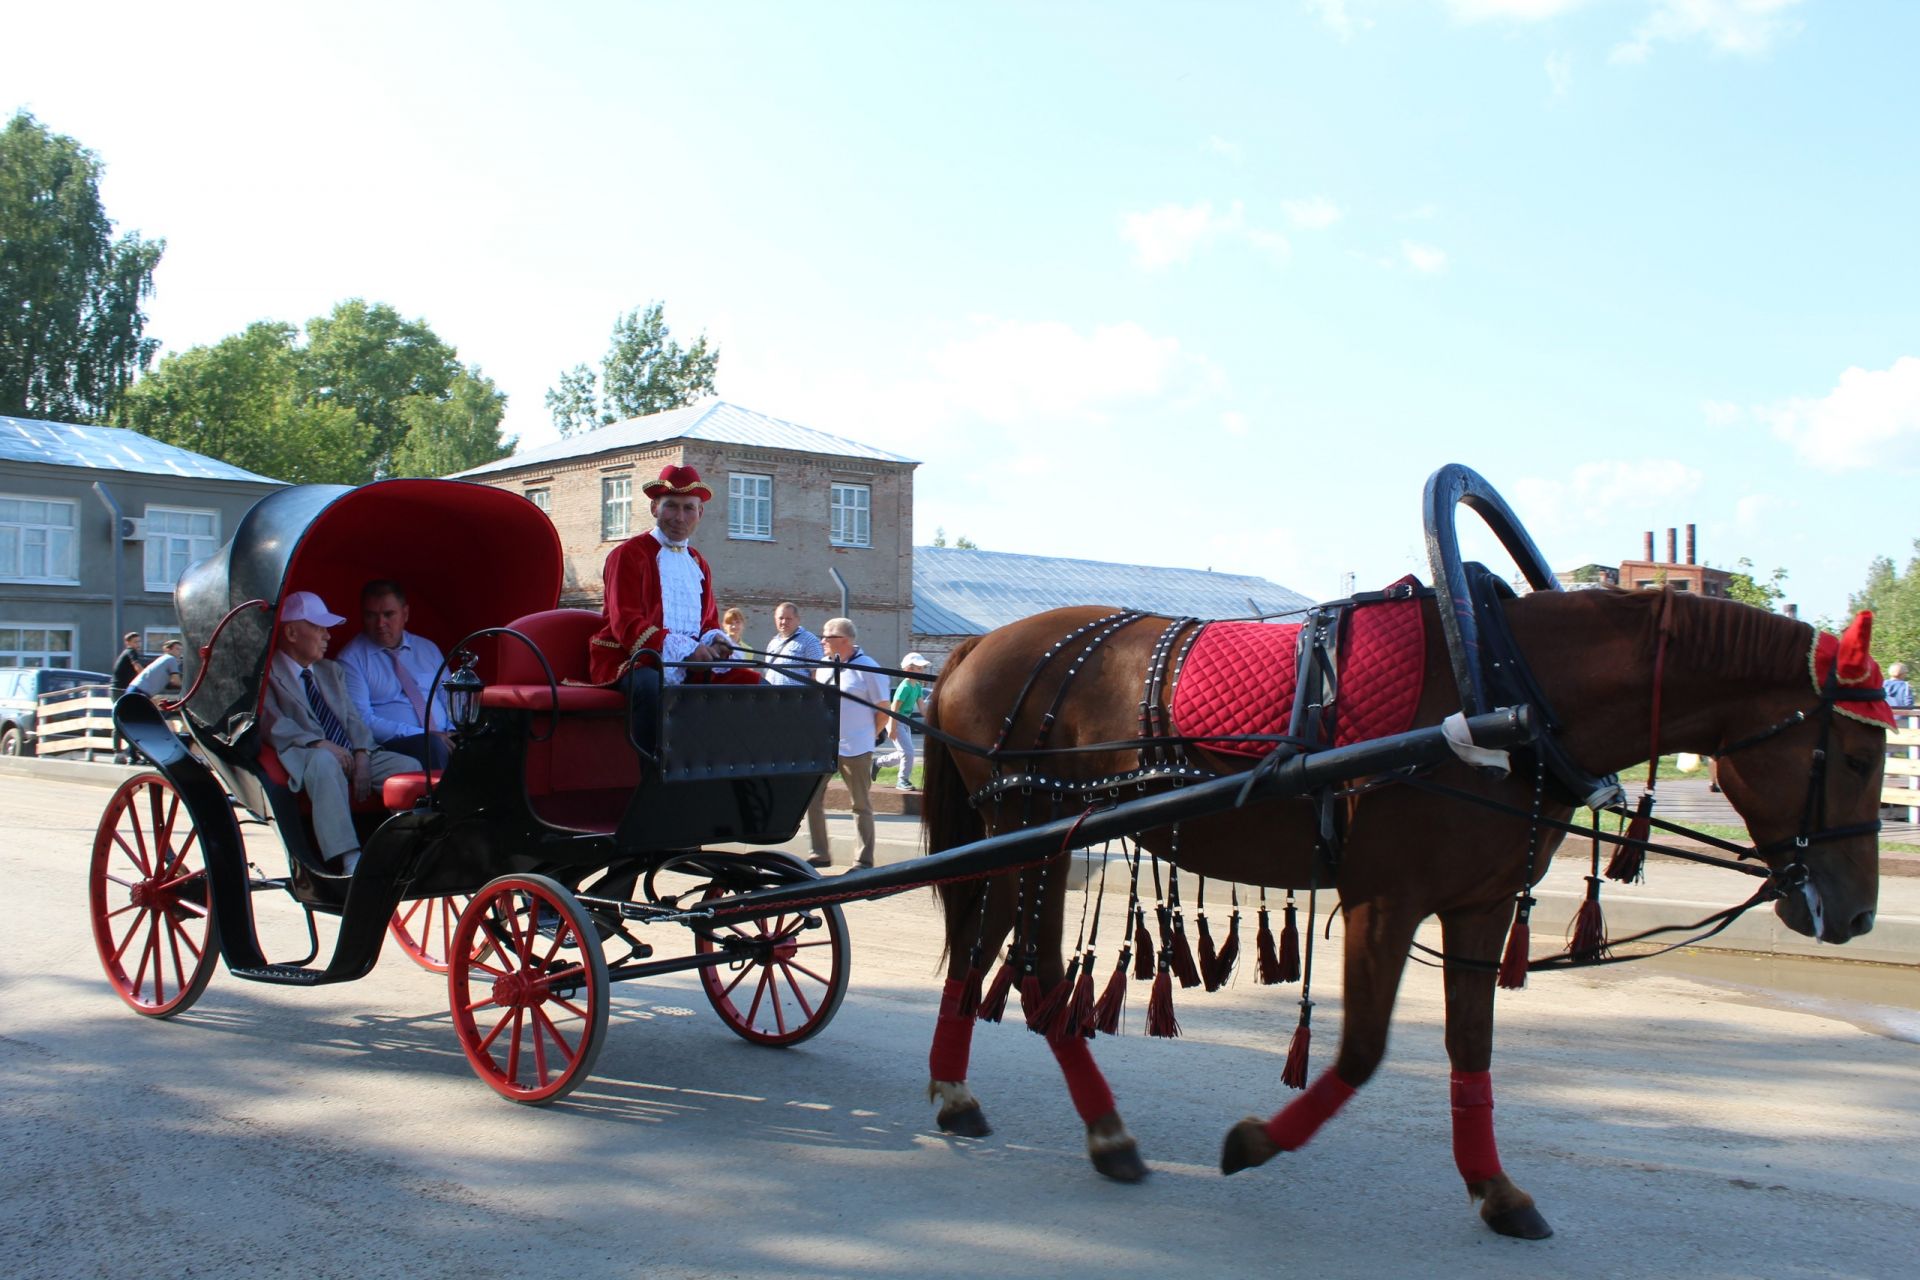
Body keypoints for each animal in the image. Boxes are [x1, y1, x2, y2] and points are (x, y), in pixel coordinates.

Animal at [917, 591, 1889, 1243]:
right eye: (1851, 753)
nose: (1858, 913)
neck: (1506, 696)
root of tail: (972, 648)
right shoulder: (1385, 901)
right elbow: (1362, 1050)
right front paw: (1259, 1141)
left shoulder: (1479, 907)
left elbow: (1471, 1049)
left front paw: (1497, 1189)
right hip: (1027, 830)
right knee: (1021, 965)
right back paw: (1066, 1118)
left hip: (1034, 840)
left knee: (998, 957)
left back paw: (989, 1101)